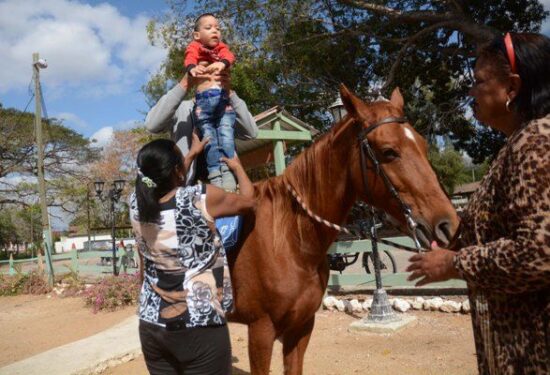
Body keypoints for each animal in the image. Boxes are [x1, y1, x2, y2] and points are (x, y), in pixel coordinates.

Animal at [227, 86, 462, 375]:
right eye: (388, 151)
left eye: (423, 144)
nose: (448, 225)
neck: (289, 241)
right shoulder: (260, 331)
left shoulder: (301, 328)